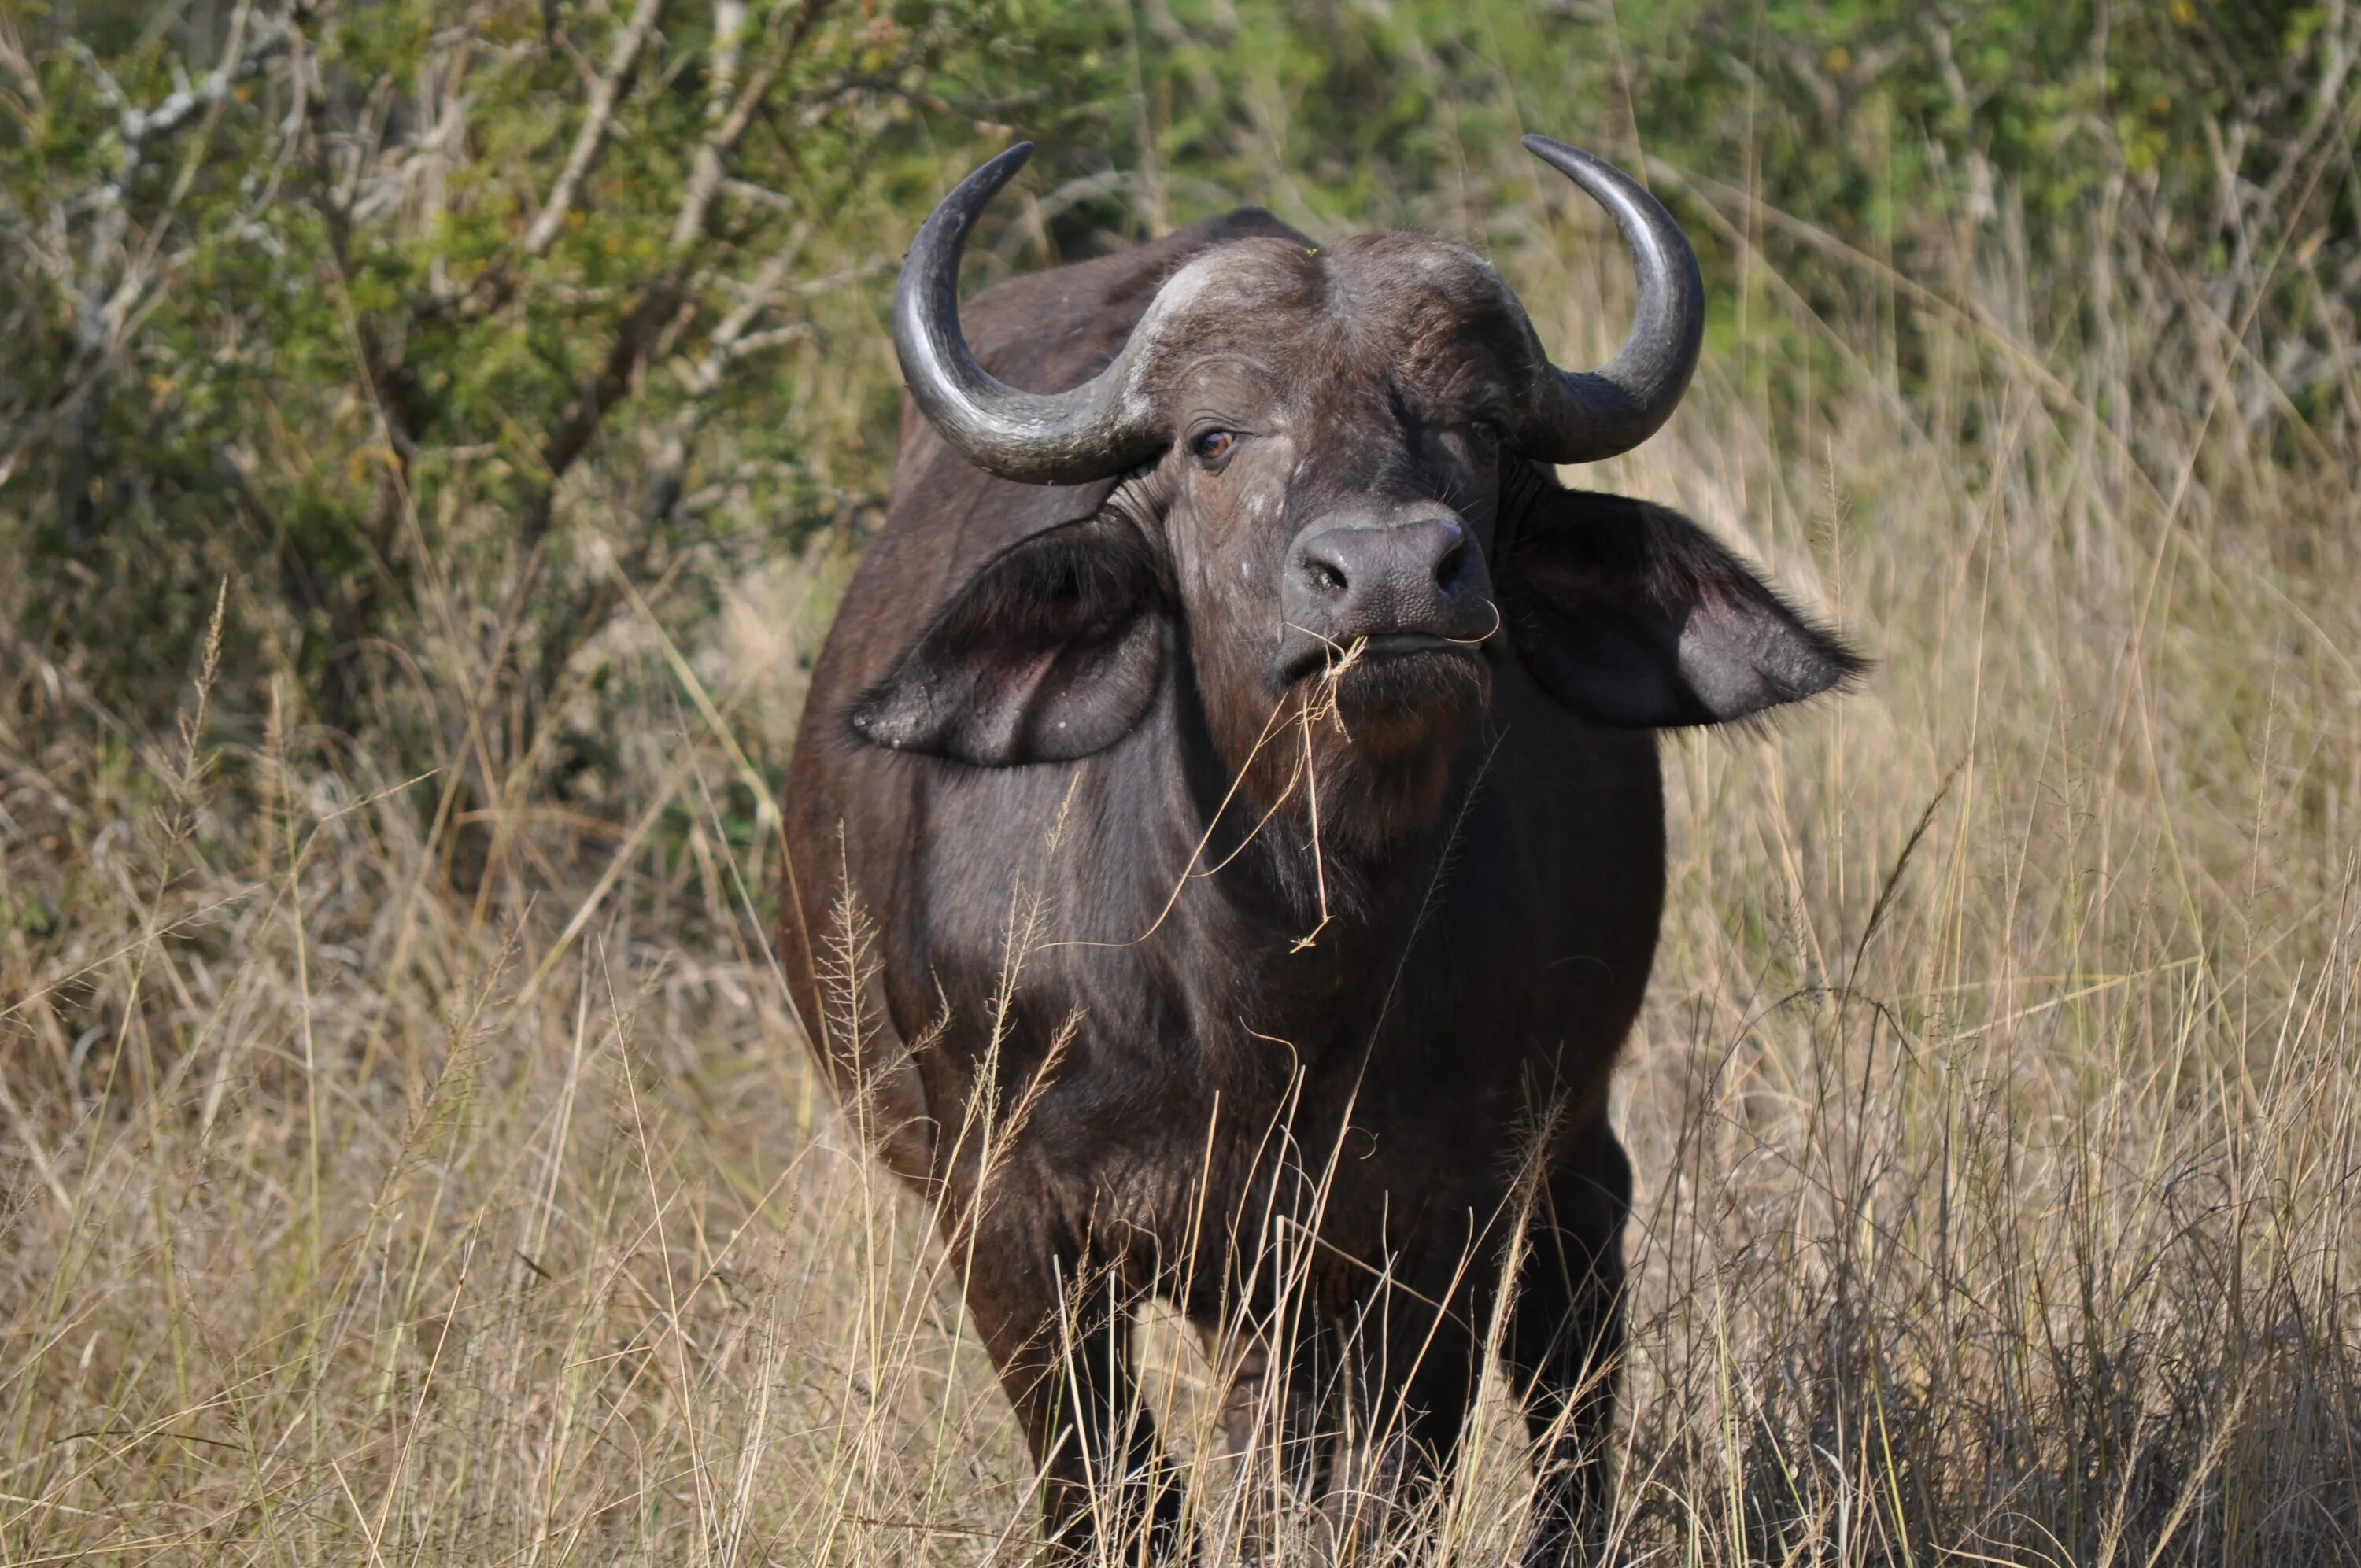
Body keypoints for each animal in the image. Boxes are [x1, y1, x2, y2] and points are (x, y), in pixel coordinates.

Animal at [784, 141, 1851, 1558]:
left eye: (1482, 427)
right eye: (1215, 438)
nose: (1393, 575)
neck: (1272, 978)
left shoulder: (1435, 1228)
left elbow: (1388, 1488)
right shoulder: (1004, 1220)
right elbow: (1116, 1491)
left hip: (1562, 1162)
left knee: (1574, 1354)